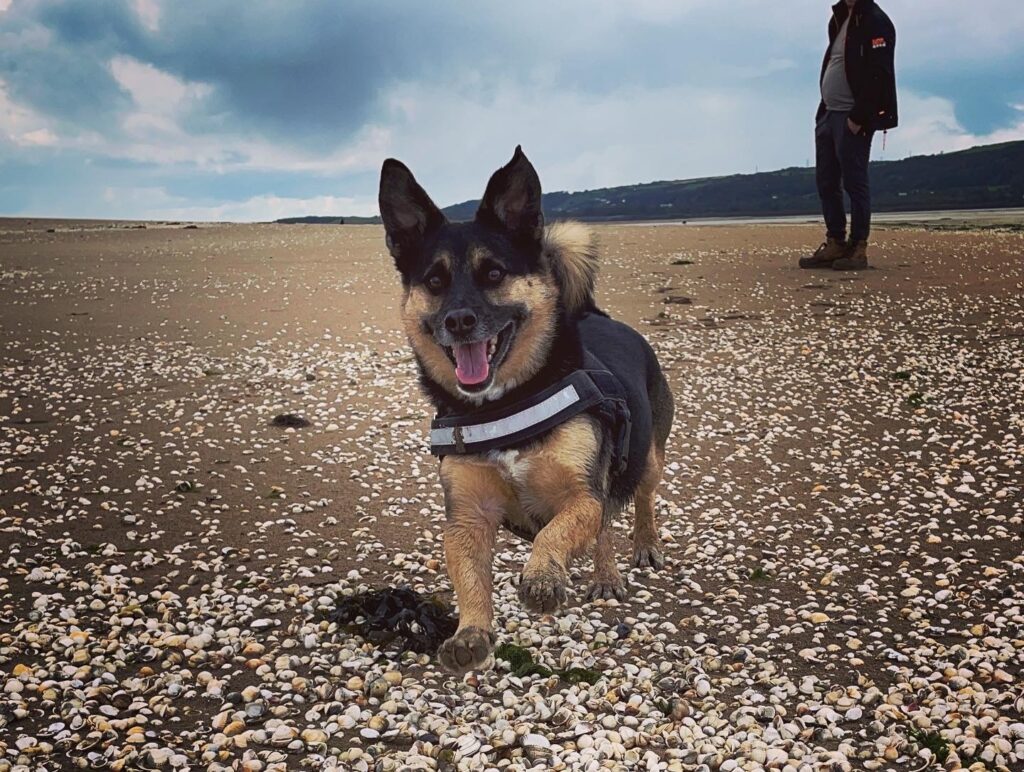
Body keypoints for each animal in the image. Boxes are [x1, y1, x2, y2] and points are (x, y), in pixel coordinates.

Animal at [376, 147, 671, 671]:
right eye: (434, 281)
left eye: (494, 273)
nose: (459, 320)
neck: (507, 403)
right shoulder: (467, 517)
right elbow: (469, 578)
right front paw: (471, 632)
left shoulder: (581, 495)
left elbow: (557, 532)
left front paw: (542, 579)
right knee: (606, 525)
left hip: (648, 456)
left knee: (638, 499)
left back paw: (638, 550)